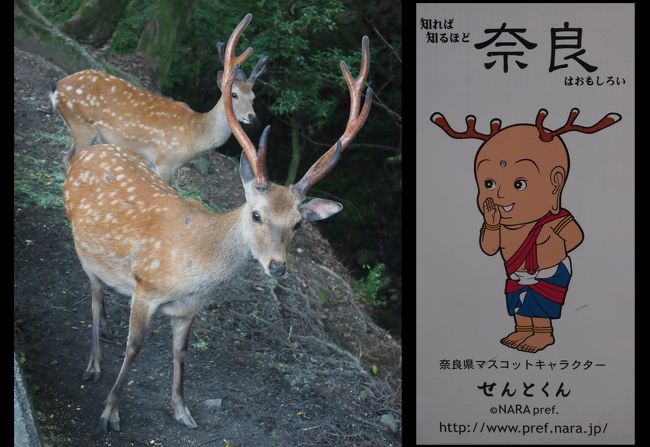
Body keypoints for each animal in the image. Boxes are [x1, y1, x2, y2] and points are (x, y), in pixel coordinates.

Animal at [51, 17, 268, 184]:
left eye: (253, 97)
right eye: (233, 94)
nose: (252, 117)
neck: (195, 135)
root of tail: (57, 87)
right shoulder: (165, 161)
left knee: (65, 157)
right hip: (81, 125)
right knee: (70, 159)